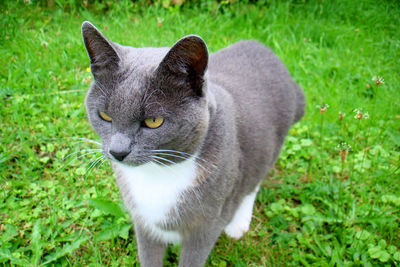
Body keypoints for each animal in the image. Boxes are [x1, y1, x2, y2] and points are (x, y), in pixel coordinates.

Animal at [82, 19, 306, 266]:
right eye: (104, 116)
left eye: (153, 121)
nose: (118, 151)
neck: (158, 175)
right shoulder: (144, 222)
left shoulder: (206, 227)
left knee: (252, 184)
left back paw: (238, 224)